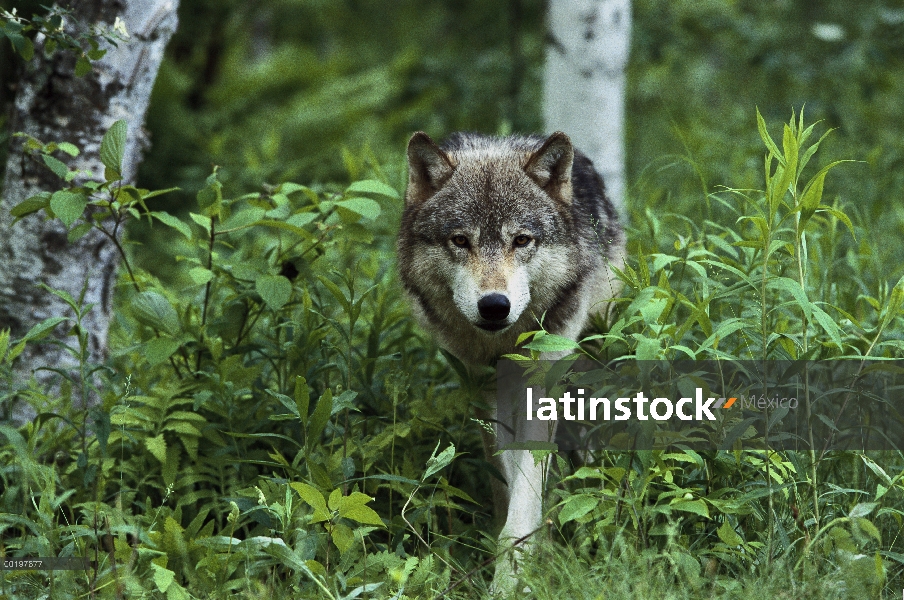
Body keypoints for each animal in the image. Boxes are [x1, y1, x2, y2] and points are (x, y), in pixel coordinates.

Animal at [400, 130, 624, 584]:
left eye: (521, 239)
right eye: (460, 240)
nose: (494, 306)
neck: (503, 344)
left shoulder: (542, 381)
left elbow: (527, 483)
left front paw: (514, 572)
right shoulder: (484, 388)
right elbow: (506, 473)